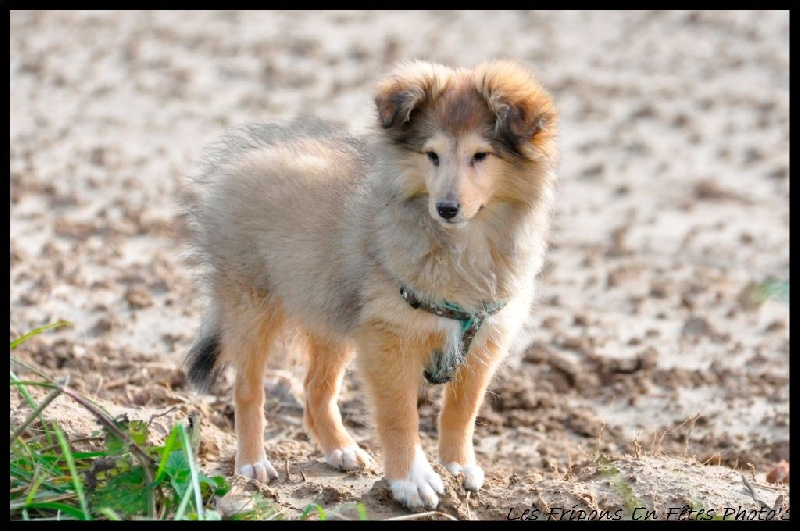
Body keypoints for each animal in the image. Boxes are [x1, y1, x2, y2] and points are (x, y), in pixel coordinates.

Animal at [182, 59, 560, 512]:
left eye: (480, 156)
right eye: (431, 155)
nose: (446, 208)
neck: (460, 248)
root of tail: (240, 161)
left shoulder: (484, 339)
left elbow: (462, 409)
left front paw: (458, 466)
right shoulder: (388, 337)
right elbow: (400, 416)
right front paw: (411, 481)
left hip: (330, 310)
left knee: (316, 390)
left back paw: (341, 449)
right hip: (251, 307)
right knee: (248, 391)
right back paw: (253, 464)